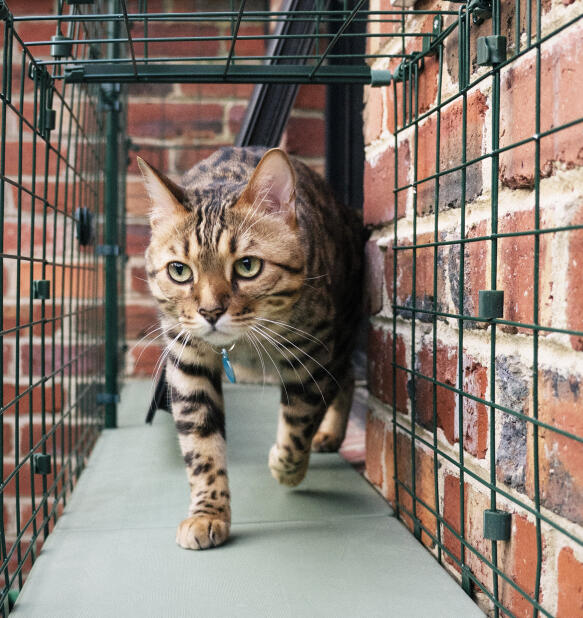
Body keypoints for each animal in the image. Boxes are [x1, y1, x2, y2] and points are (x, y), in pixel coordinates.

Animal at [138, 146, 364, 548]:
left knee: (344, 376)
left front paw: (287, 467)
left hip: (343, 330)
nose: (210, 312)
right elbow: (201, 444)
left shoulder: (312, 354)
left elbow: (298, 425)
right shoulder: (187, 358)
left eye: (247, 266)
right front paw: (208, 513)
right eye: (179, 270)